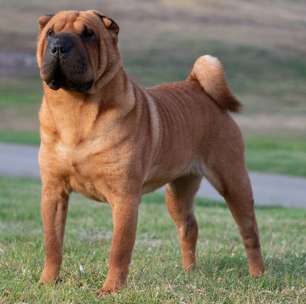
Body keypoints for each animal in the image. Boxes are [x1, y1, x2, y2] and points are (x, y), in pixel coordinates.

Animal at [36, 10, 262, 296]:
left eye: (89, 34)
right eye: (51, 33)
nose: (59, 46)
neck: (75, 109)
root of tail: (198, 87)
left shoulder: (125, 198)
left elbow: (119, 250)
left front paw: (110, 290)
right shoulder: (54, 191)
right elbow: (52, 243)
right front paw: (47, 282)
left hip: (233, 181)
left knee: (249, 231)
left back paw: (258, 275)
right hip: (178, 192)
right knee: (189, 226)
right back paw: (189, 272)